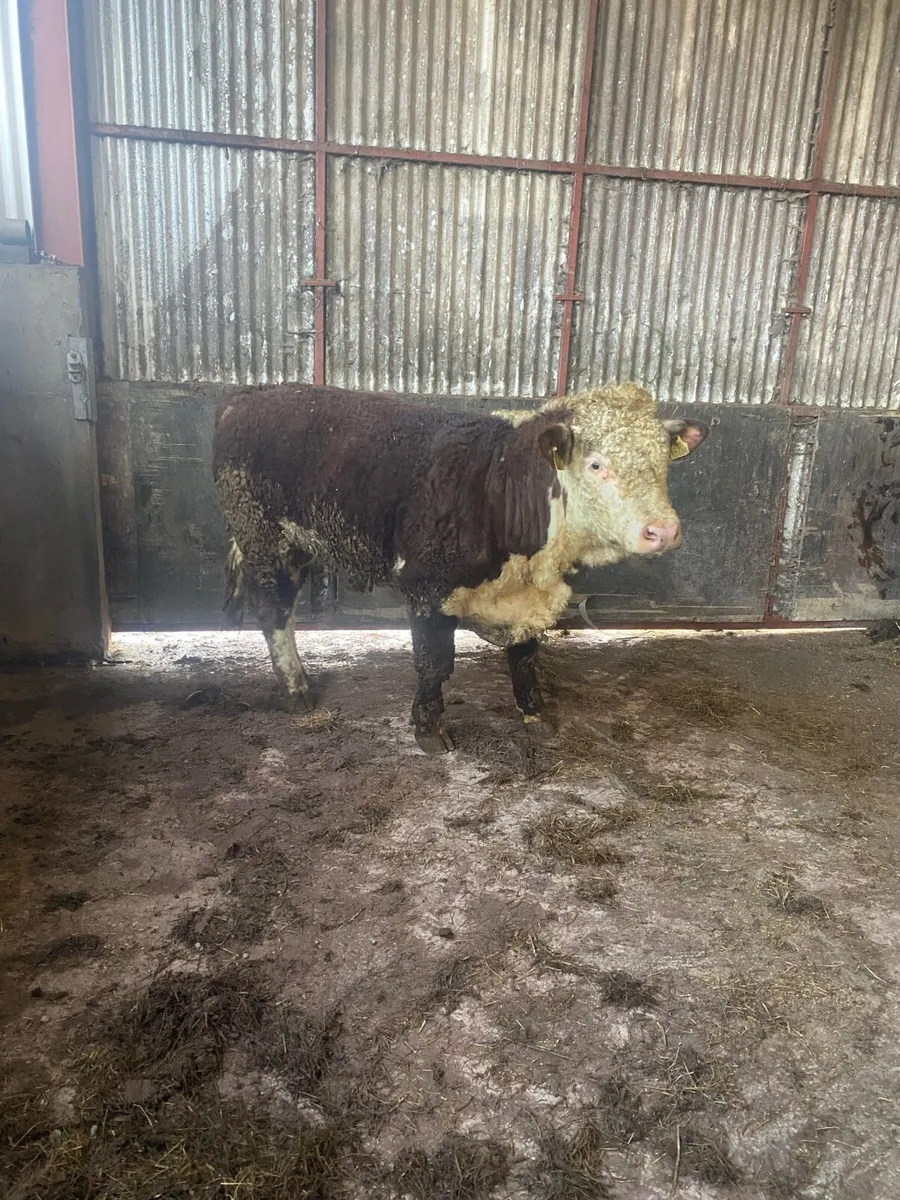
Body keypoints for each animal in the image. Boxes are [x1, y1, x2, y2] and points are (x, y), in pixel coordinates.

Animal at [212, 383, 708, 753]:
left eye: (662, 462)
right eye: (596, 464)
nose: (663, 531)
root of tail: (249, 396)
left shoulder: (527, 601)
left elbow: (525, 658)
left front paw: (535, 715)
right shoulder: (426, 586)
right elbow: (434, 663)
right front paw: (429, 731)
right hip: (265, 539)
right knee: (274, 612)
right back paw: (297, 690)